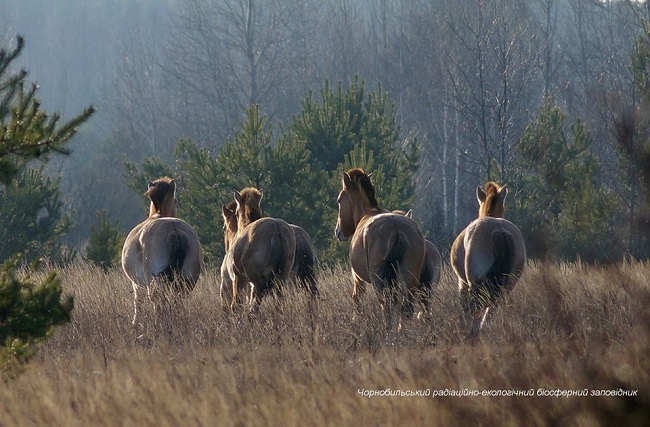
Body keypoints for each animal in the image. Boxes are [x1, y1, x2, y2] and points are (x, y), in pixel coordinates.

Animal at [121, 177, 202, 328]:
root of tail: (175, 230)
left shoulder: (136, 283)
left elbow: (138, 303)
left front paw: (135, 322)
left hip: (156, 283)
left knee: (158, 305)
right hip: (187, 281)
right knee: (178, 302)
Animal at [334, 169, 426, 322]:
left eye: (339, 200)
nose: (338, 231)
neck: (367, 212)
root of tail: (396, 228)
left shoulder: (358, 278)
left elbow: (357, 298)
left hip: (380, 281)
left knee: (386, 306)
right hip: (410, 280)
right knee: (405, 308)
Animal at [450, 181, 528, 342]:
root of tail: (499, 230)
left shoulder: (462, 282)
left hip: (475, 284)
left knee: (476, 309)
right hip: (506, 287)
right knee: (490, 311)